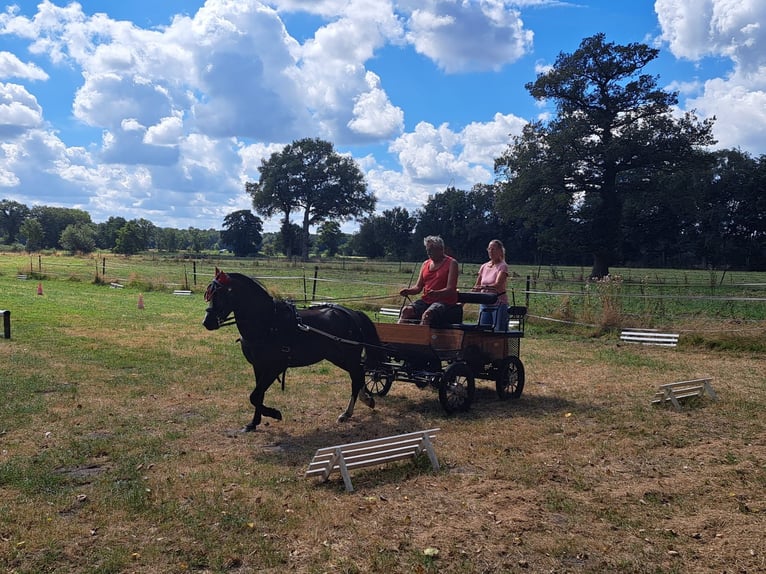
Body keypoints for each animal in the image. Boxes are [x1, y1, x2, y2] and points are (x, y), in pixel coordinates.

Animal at [202, 270, 384, 432]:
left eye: (222, 294)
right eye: (210, 294)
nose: (207, 322)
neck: (268, 323)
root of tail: (352, 314)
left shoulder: (274, 367)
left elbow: (254, 396)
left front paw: (274, 413)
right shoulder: (258, 366)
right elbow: (258, 395)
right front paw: (253, 423)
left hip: (348, 357)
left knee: (357, 377)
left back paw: (348, 412)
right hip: (339, 357)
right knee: (359, 374)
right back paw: (365, 399)